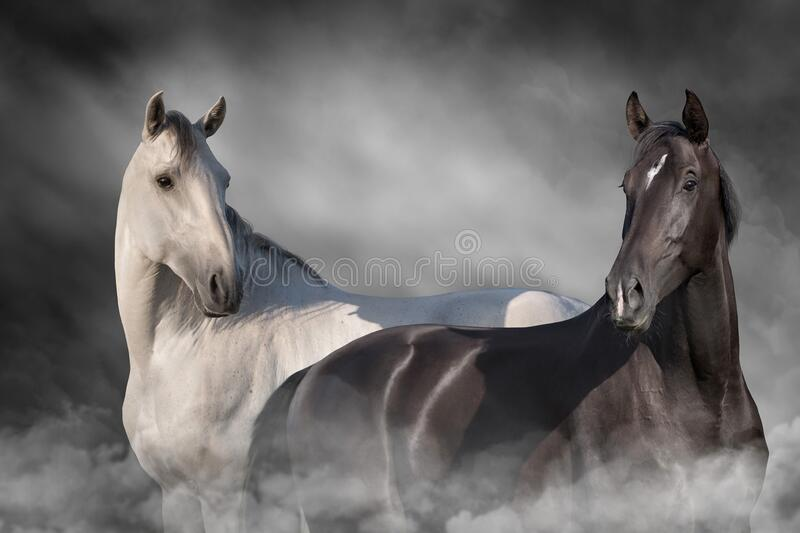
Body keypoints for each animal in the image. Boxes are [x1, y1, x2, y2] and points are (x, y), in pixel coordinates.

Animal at [115, 92, 584, 532]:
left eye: (225, 180)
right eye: (165, 180)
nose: (225, 286)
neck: (175, 353)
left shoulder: (226, 496)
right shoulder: (175, 494)